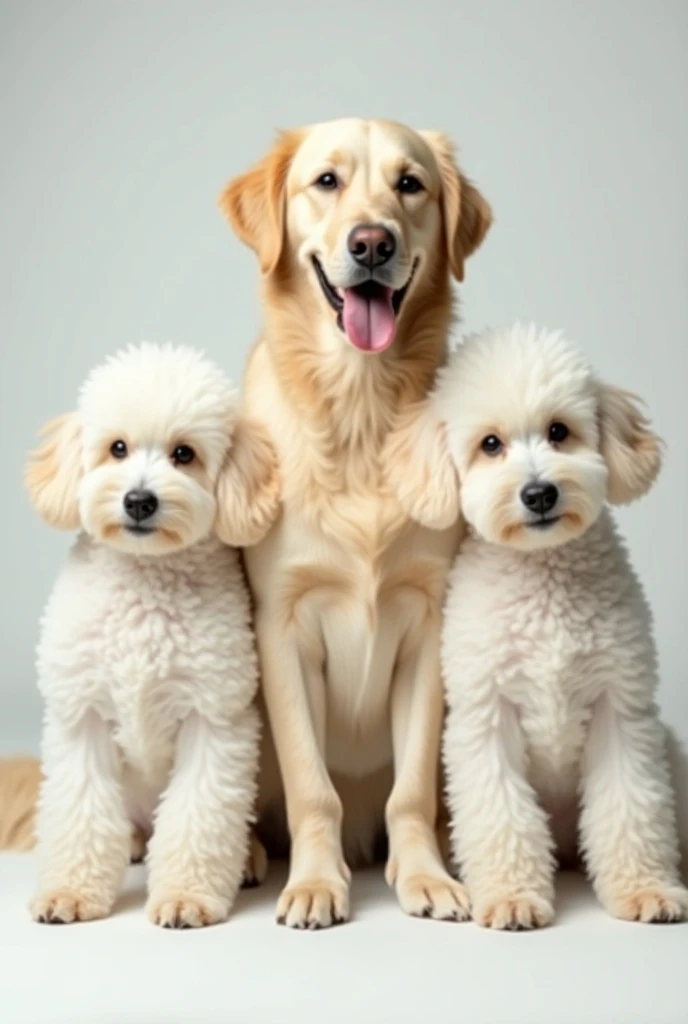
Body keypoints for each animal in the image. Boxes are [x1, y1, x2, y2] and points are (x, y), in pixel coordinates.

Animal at [24, 342, 278, 929]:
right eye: (117, 448)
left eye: (184, 454)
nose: (139, 500)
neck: (146, 579)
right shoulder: (82, 715)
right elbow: (79, 809)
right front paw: (70, 890)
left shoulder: (214, 719)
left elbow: (199, 815)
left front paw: (186, 894)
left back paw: (247, 859)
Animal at [387, 325, 688, 929]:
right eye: (490, 445)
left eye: (558, 432)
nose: (539, 493)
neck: (543, 575)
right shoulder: (486, 716)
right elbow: (502, 814)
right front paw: (512, 897)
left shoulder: (620, 709)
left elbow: (631, 806)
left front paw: (645, 888)